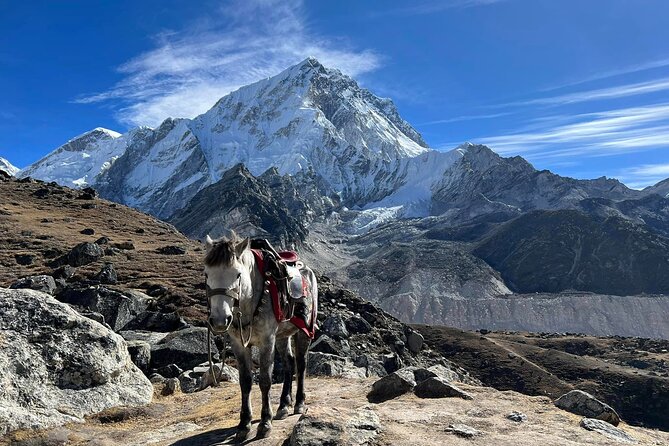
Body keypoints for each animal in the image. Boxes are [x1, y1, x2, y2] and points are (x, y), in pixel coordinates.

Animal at [202, 232, 318, 440]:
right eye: (207, 274)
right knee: (289, 363)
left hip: (303, 331)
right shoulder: (239, 344)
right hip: (282, 335)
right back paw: (283, 406)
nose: (220, 320)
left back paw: (298, 403)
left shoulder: (266, 341)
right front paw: (244, 424)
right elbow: (246, 382)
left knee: (301, 363)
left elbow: (265, 381)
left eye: (237, 274)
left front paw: (264, 423)